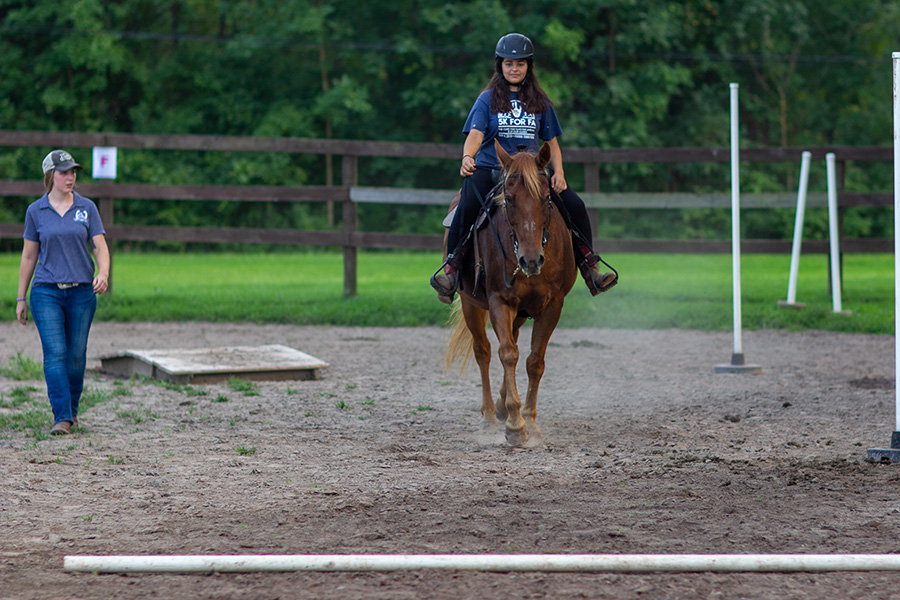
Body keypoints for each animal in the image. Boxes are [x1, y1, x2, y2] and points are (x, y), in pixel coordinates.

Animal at [442, 141, 576, 448]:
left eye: (546, 199)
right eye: (510, 200)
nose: (531, 260)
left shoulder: (553, 305)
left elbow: (534, 361)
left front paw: (529, 421)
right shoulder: (499, 301)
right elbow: (507, 354)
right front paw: (516, 426)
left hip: (519, 312)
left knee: (512, 339)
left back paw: (502, 407)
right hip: (470, 304)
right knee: (484, 351)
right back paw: (491, 416)